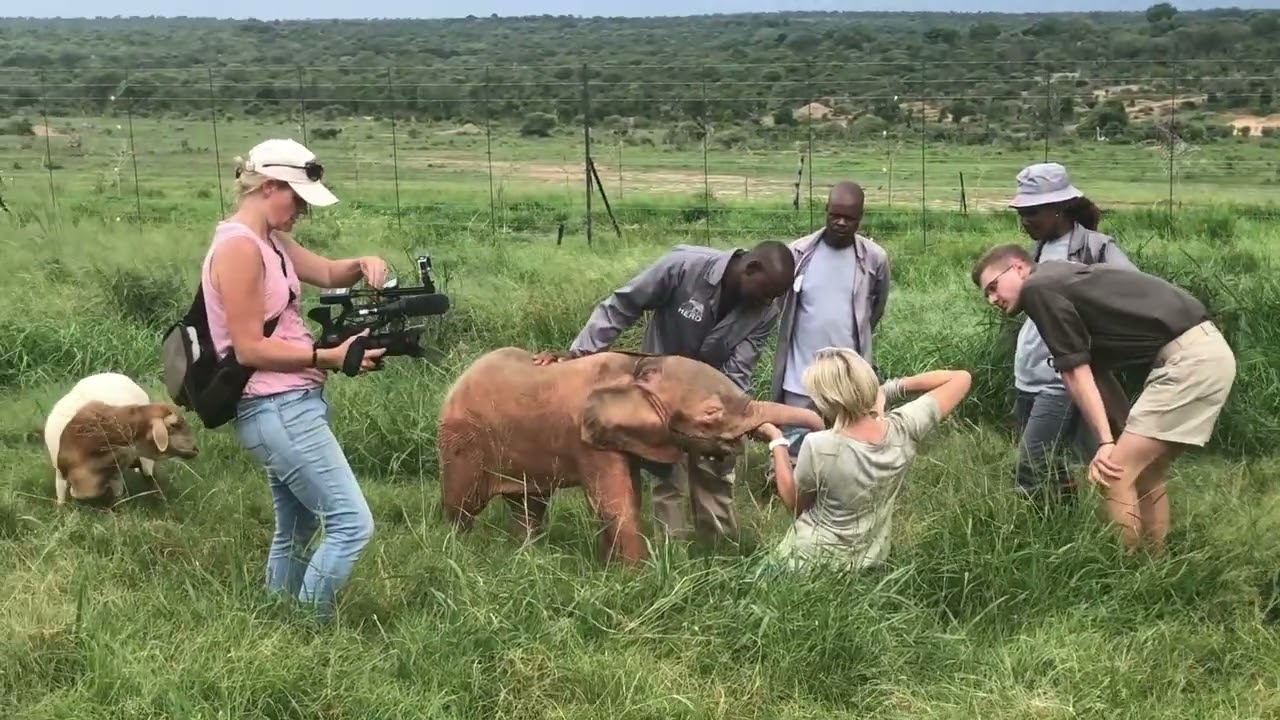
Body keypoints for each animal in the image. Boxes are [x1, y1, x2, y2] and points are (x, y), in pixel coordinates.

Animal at [436, 346, 825, 563]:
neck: (638, 371)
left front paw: (613, 567)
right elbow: (615, 502)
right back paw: (458, 551)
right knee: (463, 505)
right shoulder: (587, 438)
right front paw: (636, 575)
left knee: (530, 504)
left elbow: (629, 498)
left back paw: (527, 555)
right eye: (711, 414)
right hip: (462, 441)